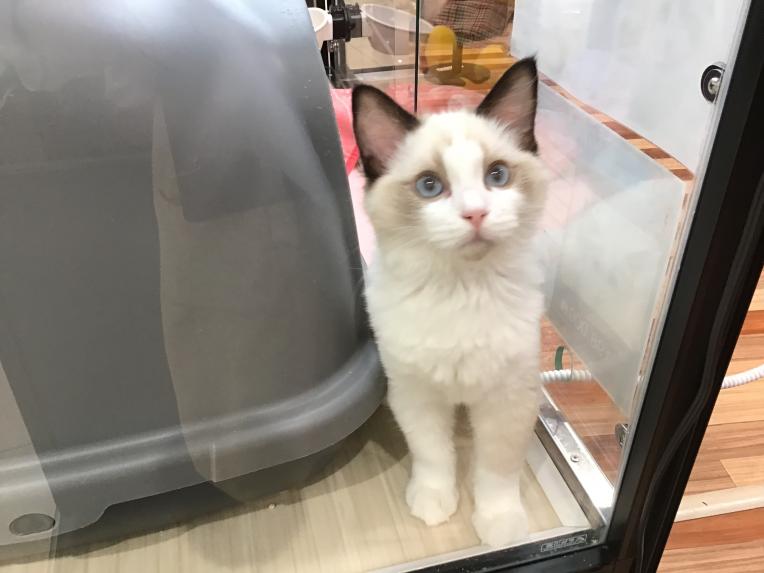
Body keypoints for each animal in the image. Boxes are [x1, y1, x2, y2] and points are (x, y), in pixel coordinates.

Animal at [351, 58, 547, 547]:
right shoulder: (414, 393)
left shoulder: (508, 400)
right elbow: (433, 455)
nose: (475, 213)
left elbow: (496, 471)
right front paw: (434, 502)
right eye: (429, 186)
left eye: (497, 176)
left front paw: (499, 524)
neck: (462, 289)